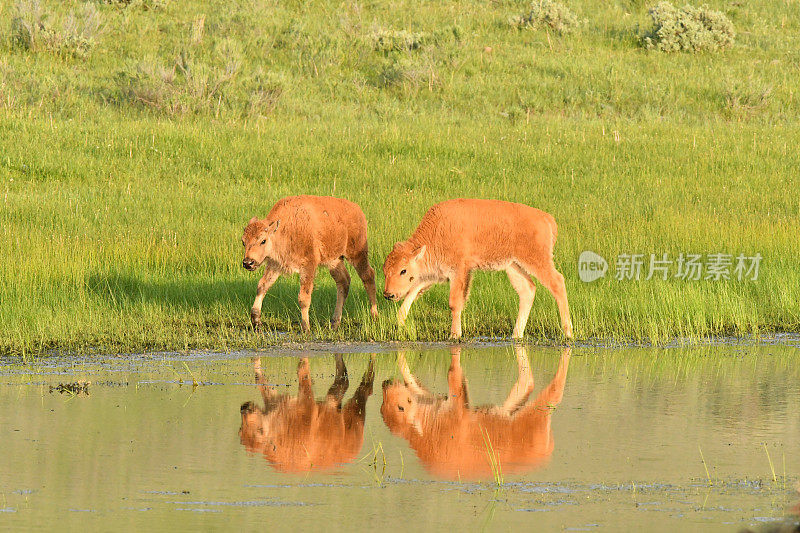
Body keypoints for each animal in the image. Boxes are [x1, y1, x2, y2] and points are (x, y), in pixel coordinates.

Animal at [241, 193, 378, 330]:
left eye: (263, 241)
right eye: (243, 242)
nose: (248, 263)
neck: (285, 229)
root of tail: (357, 210)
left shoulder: (308, 266)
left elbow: (303, 298)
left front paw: (306, 327)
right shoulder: (275, 265)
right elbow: (262, 286)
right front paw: (256, 320)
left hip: (357, 253)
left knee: (368, 276)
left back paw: (374, 316)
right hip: (334, 260)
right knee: (343, 281)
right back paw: (334, 322)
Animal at [384, 197, 572, 338]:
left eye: (403, 270)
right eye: (385, 270)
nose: (388, 294)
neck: (436, 234)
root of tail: (547, 218)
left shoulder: (459, 271)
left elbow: (455, 303)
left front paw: (455, 335)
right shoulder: (433, 274)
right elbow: (411, 294)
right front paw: (400, 324)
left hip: (537, 261)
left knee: (557, 282)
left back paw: (568, 333)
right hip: (513, 266)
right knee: (528, 290)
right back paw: (516, 335)